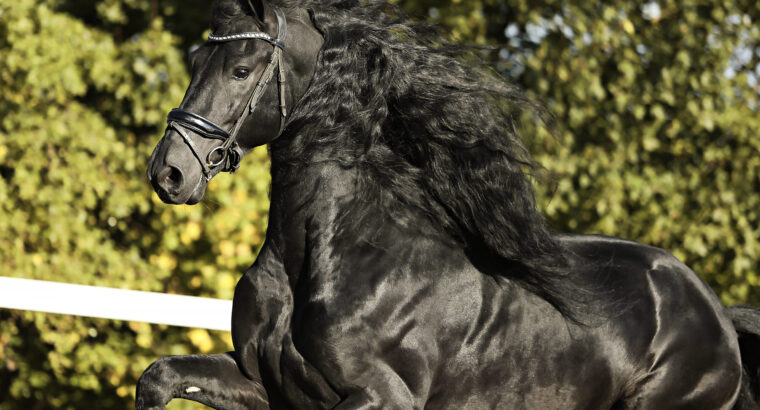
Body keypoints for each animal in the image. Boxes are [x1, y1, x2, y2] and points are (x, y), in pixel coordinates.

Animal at [140, 1, 756, 408]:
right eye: (195, 61)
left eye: (241, 69)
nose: (169, 172)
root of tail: (716, 313)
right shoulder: (264, 383)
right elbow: (157, 377)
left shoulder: (384, 397)